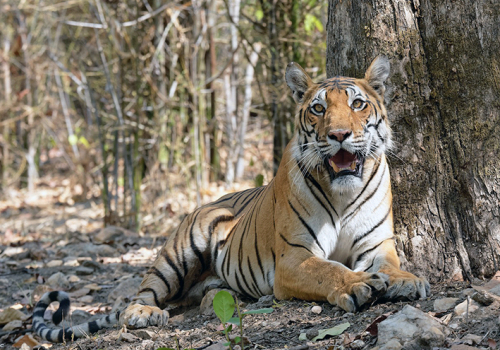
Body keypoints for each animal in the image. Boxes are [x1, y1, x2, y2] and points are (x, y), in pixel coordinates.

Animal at [32, 56, 430, 344]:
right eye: (318, 109)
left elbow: (391, 265)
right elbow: (329, 269)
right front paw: (357, 284)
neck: (342, 191)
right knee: (143, 292)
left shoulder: (376, 243)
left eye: (358, 104)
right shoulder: (294, 257)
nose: (339, 134)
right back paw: (143, 314)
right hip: (178, 254)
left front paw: (405, 280)